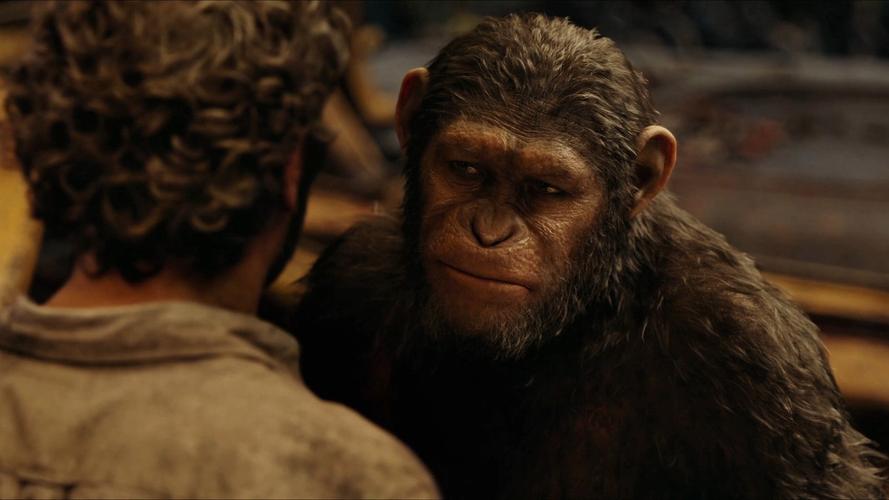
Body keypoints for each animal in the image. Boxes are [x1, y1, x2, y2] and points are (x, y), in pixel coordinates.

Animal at [285, 14, 887, 500]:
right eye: (466, 167)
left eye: (547, 189)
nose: (490, 232)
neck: (581, 317)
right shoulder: (350, 278)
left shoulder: (760, 359)